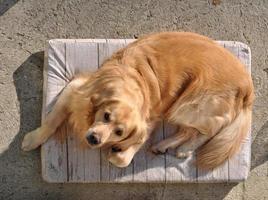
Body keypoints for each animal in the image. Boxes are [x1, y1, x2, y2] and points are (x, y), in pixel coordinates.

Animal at [21, 32, 253, 170]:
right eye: (106, 115)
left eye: (119, 132)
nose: (94, 139)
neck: (134, 81)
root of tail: (248, 86)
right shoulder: (75, 88)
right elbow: (51, 121)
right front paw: (33, 139)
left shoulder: (149, 120)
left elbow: (127, 154)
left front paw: (119, 151)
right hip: (182, 108)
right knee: (189, 130)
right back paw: (164, 144)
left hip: (189, 104)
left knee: (209, 130)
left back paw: (185, 149)